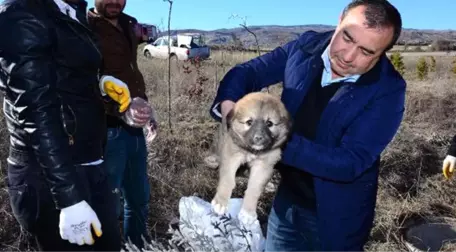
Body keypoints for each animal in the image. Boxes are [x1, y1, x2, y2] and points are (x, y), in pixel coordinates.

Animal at [210, 91, 292, 220]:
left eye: (269, 123)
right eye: (249, 122)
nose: (258, 138)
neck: (252, 151)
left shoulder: (264, 165)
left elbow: (254, 188)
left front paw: (248, 212)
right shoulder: (231, 155)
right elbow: (227, 180)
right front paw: (220, 203)